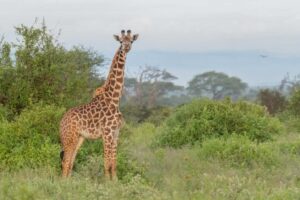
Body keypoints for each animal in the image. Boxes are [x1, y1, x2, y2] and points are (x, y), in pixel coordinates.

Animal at [60, 29, 139, 180]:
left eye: (131, 40)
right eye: (121, 41)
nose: (126, 47)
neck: (114, 99)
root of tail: (60, 122)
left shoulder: (116, 133)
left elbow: (114, 163)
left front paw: (115, 182)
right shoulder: (107, 133)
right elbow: (107, 163)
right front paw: (107, 183)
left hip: (79, 138)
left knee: (71, 162)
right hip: (69, 138)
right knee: (65, 162)